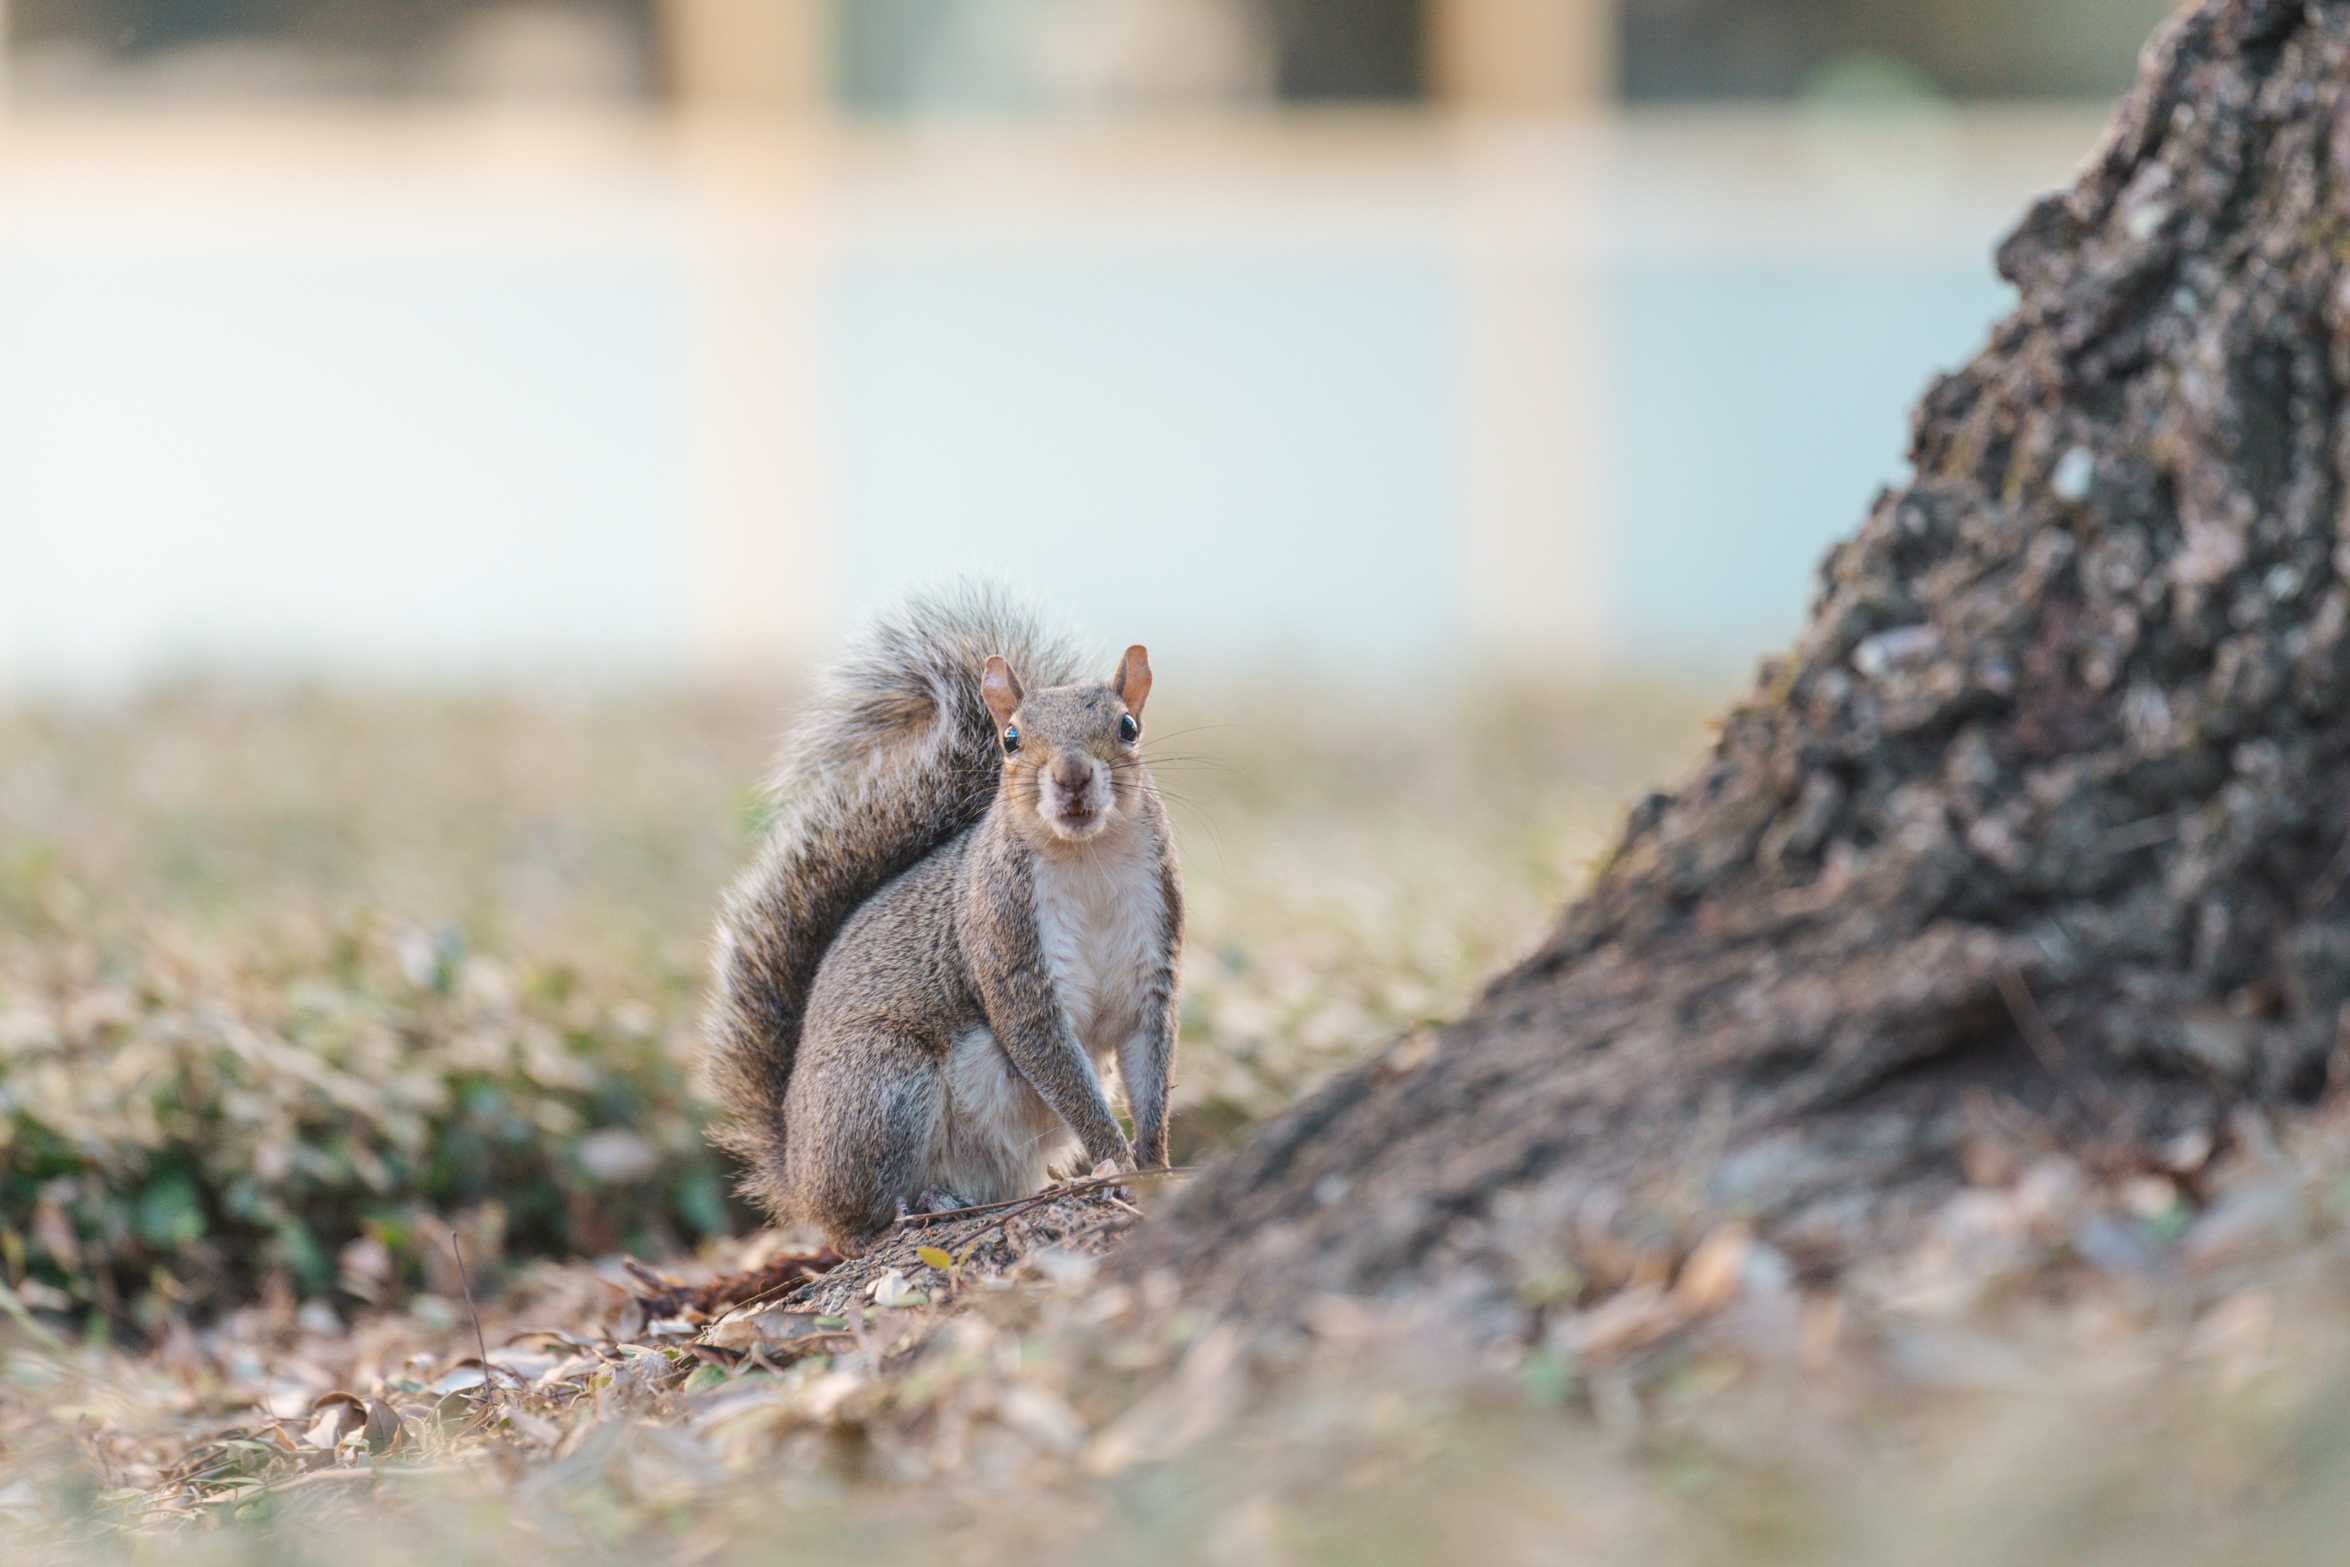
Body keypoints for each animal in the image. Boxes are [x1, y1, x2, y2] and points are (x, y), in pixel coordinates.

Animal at [690, 582, 1175, 1259]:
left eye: (1128, 727)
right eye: (1011, 740)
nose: (1073, 776)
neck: (1089, 861)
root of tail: (798, 1173)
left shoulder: (1150, 964)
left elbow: (1150, 1068)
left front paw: (1153, 1163)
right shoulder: (1009, 953)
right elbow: (1053, 1060)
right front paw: (1117, 1163)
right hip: (886, 1088)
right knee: (857, 1222)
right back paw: (914, 1206)